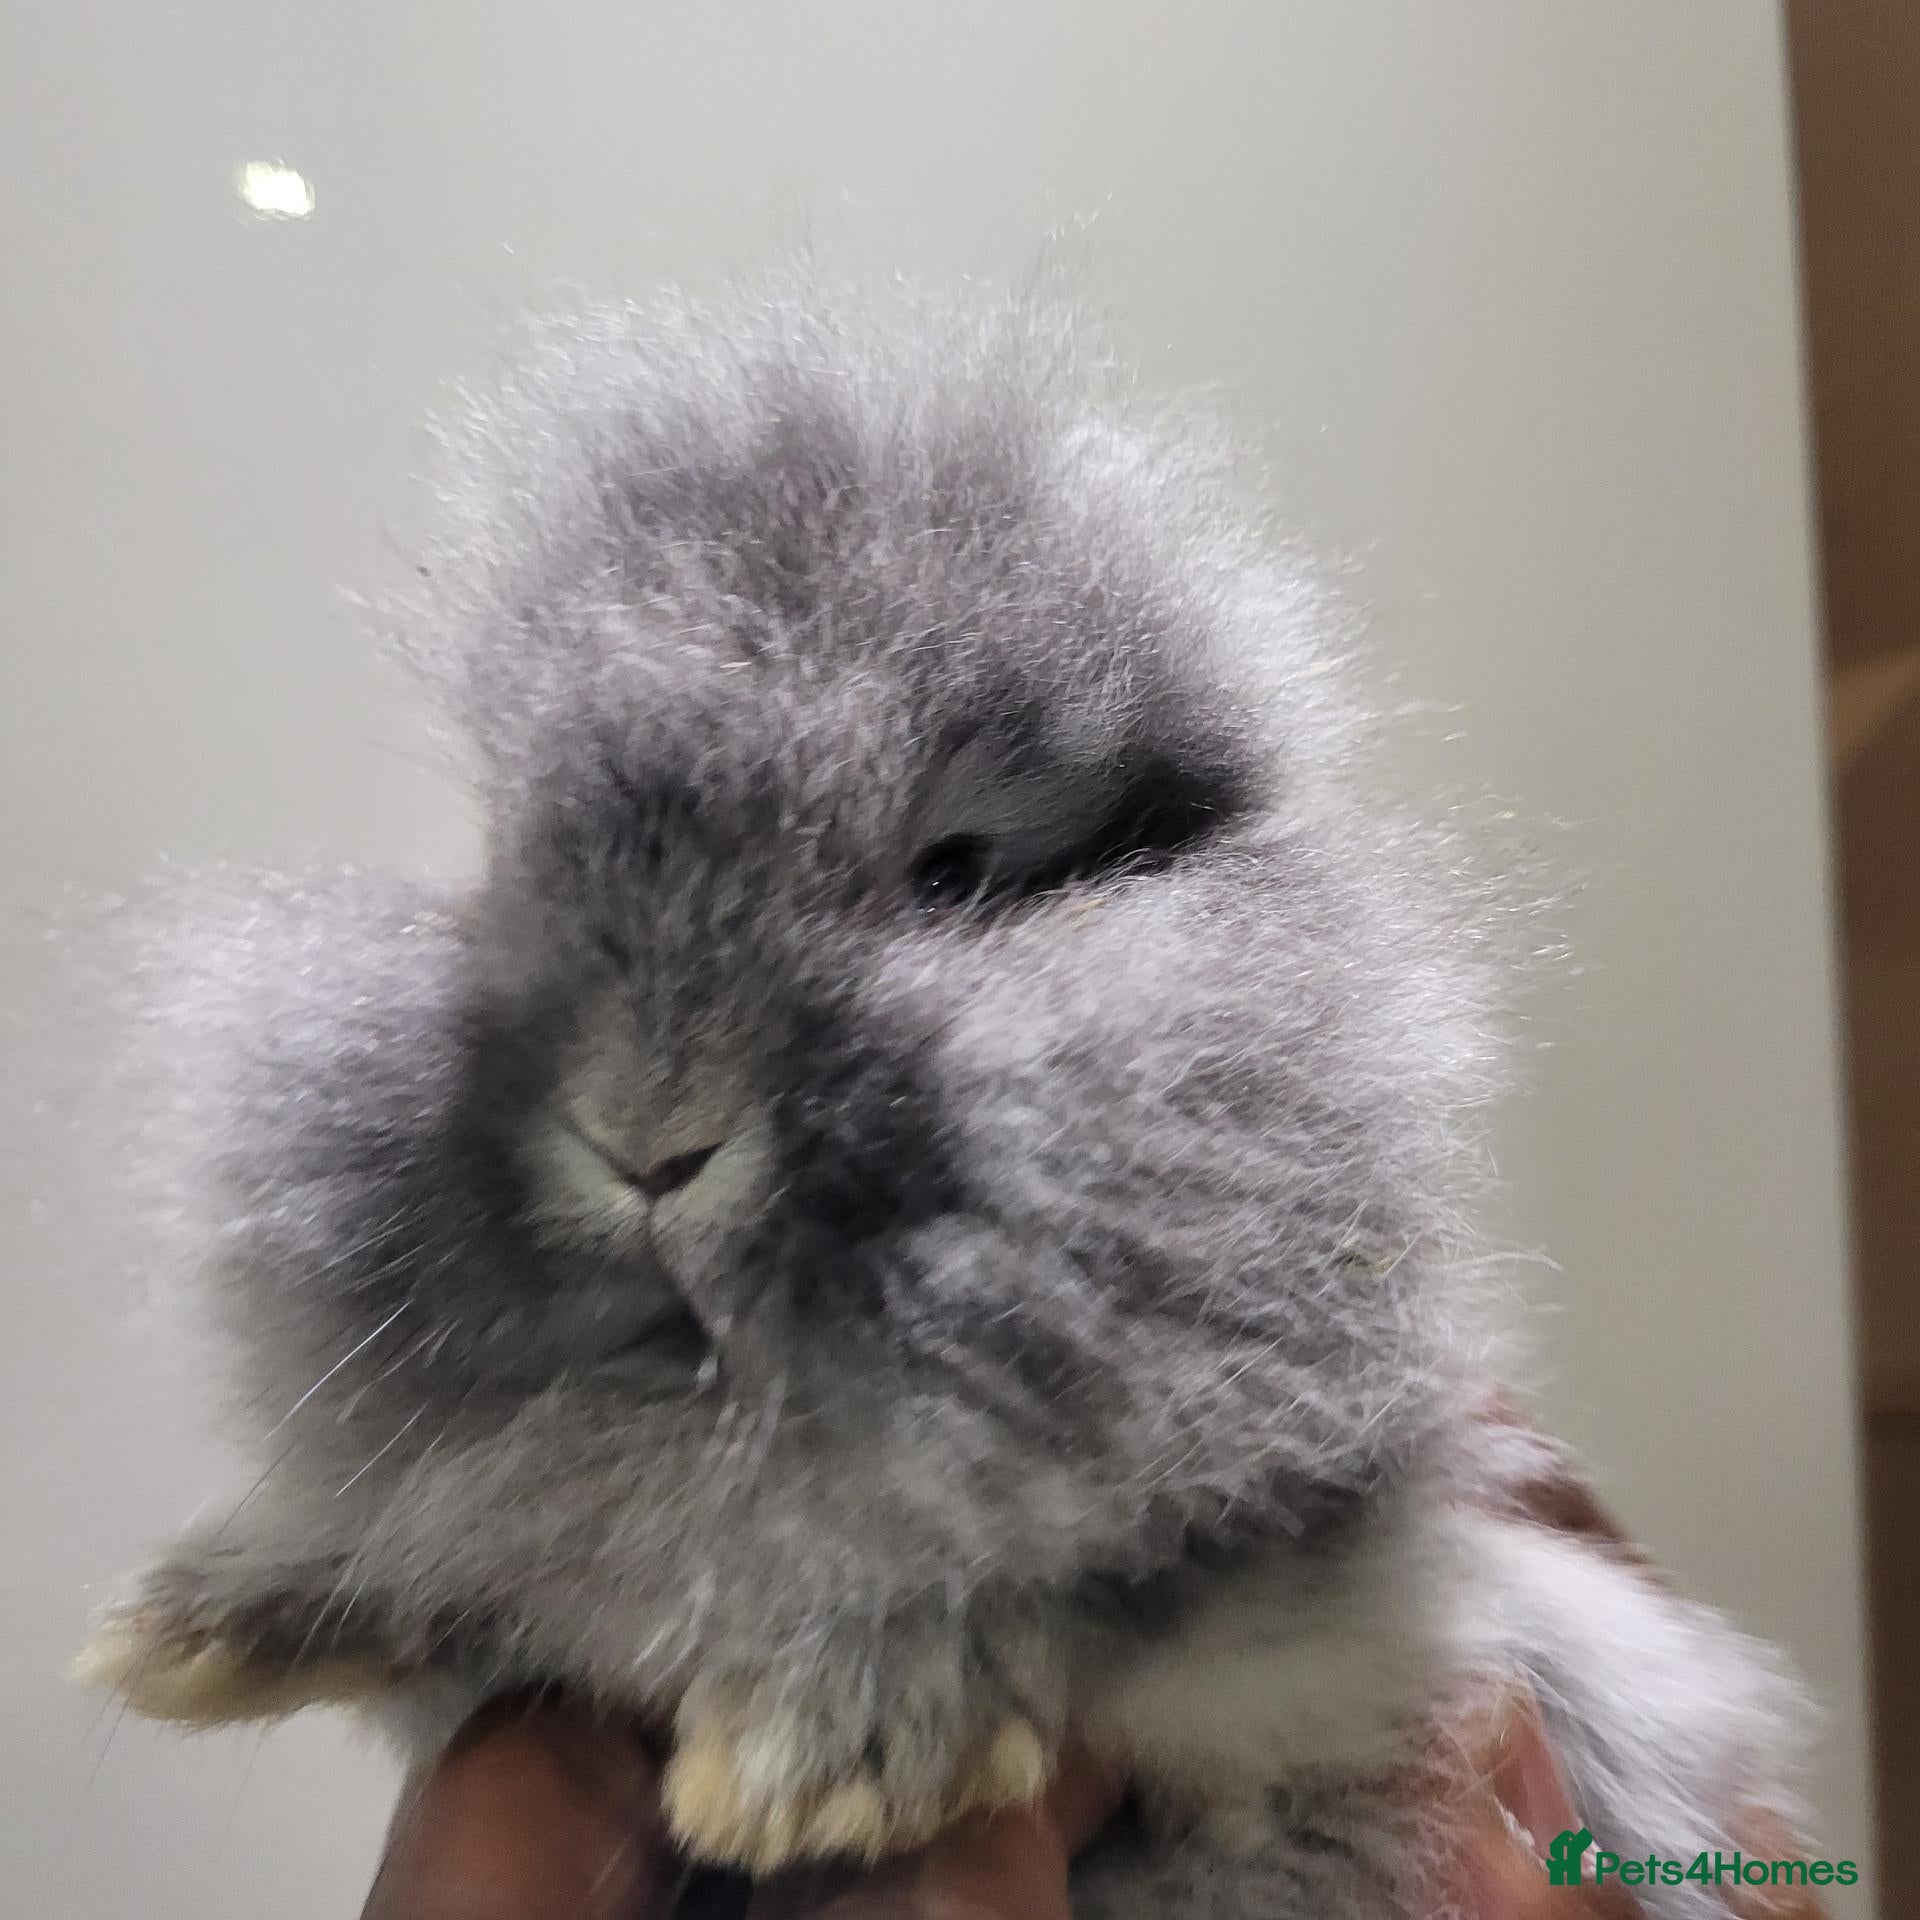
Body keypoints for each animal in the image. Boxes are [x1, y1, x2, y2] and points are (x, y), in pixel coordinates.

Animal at [77, 278, 1813, 1918]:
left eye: (956, 874)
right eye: (512, 859)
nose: (648, 1140)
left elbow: (1046, 1588)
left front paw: (821, 1764)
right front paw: (202, 1624)